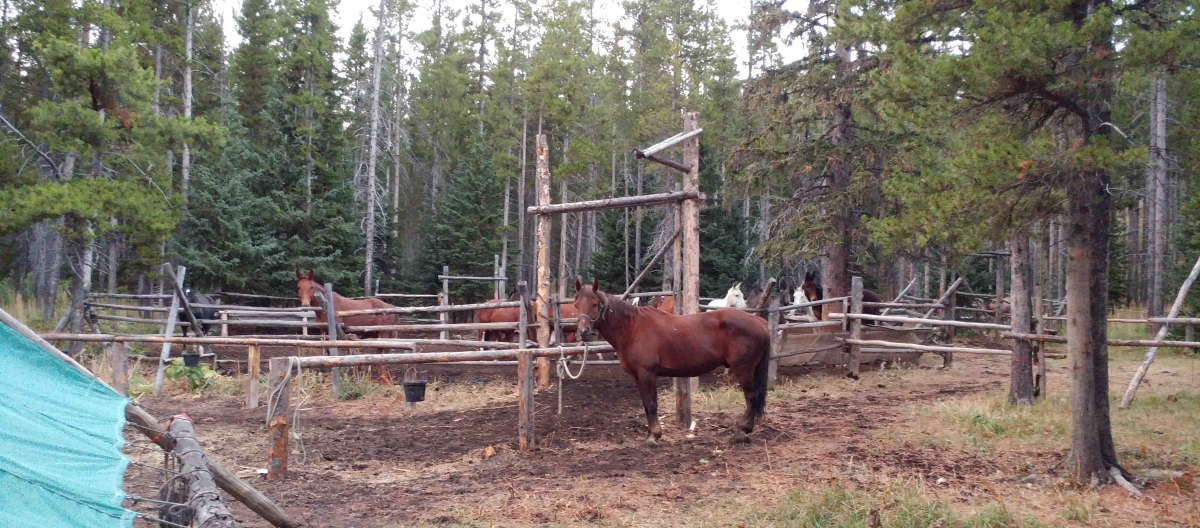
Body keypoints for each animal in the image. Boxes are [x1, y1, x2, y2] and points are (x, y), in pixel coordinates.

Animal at [571, 276, 768, 446]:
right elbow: (645, 405)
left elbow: (652, 404)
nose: (583, 332)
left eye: (595, 304)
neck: (632, 328)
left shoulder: (647, 374)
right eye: (576, 304)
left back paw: (743, 431)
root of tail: (759, 321)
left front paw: (654, 436)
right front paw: (650, 434)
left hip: (743, 370)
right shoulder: (637, 376)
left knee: (751, 396)